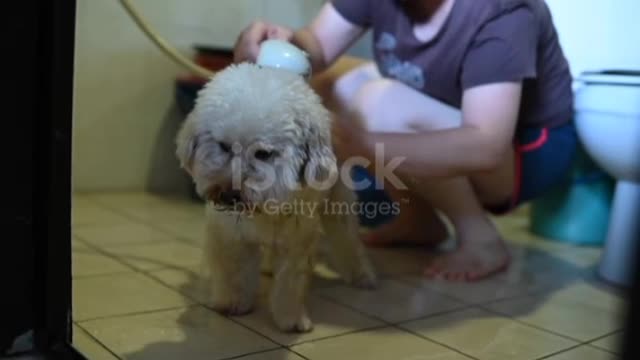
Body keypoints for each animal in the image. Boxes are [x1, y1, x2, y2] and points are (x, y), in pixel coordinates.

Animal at [175, 63, 378, 334]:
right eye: (224, 146)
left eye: (263, 154)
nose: (229, 194)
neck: (263, 208)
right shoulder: (229, 235)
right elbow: (233, 271)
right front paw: (234, 302)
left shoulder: (298, 239)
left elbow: (291, 283)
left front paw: (291, 319)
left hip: (339, 204)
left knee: (348, 241)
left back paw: (362, 276)